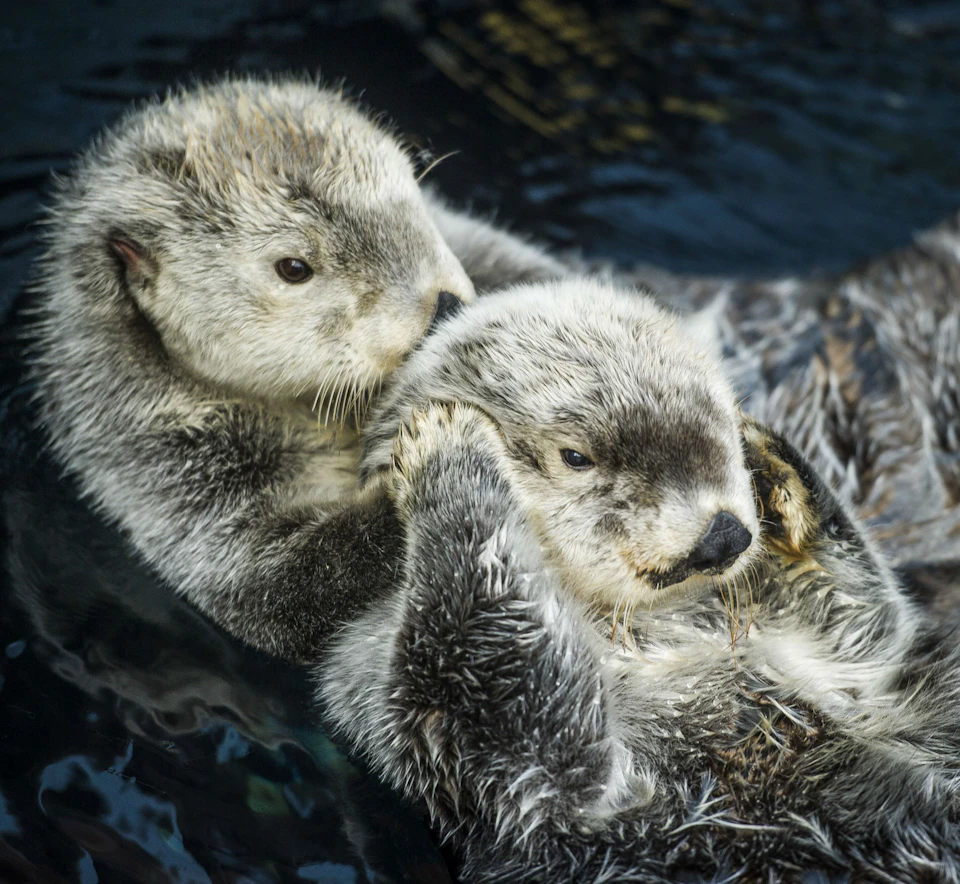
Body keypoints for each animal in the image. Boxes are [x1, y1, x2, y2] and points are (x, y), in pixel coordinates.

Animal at [319, 281, 956, 882]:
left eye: (719, 420)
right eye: (575, 457)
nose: (725, 536)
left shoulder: (853, 666)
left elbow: (868, 621)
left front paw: (769, 456)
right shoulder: (428, 705)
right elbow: (506, 691)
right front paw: (449, 441)